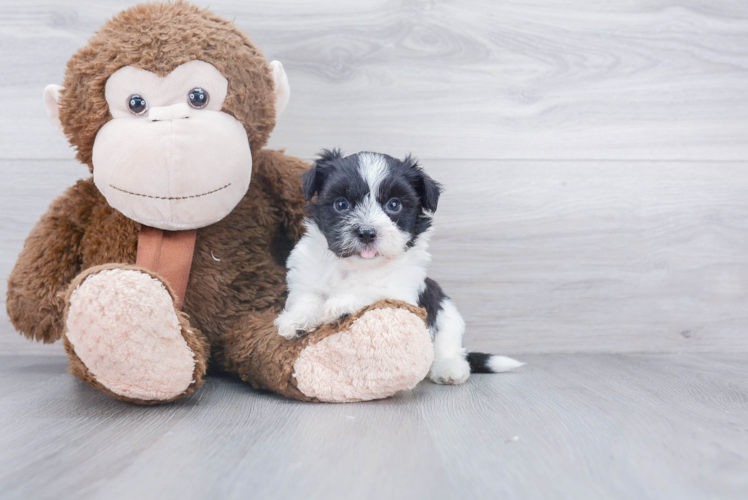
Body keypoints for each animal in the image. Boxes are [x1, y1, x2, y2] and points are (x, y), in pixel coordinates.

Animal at [274, 150, 520, 384]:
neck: (357, 265)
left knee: (448, 345)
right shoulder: (307, 276)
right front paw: (297, 320)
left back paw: (449, 369)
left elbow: (376, 289)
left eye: (394, 205)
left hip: (446, 311)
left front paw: (342, 303)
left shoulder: (404, 290)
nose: (366, 232)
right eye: (341, 204)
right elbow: (308, 297)